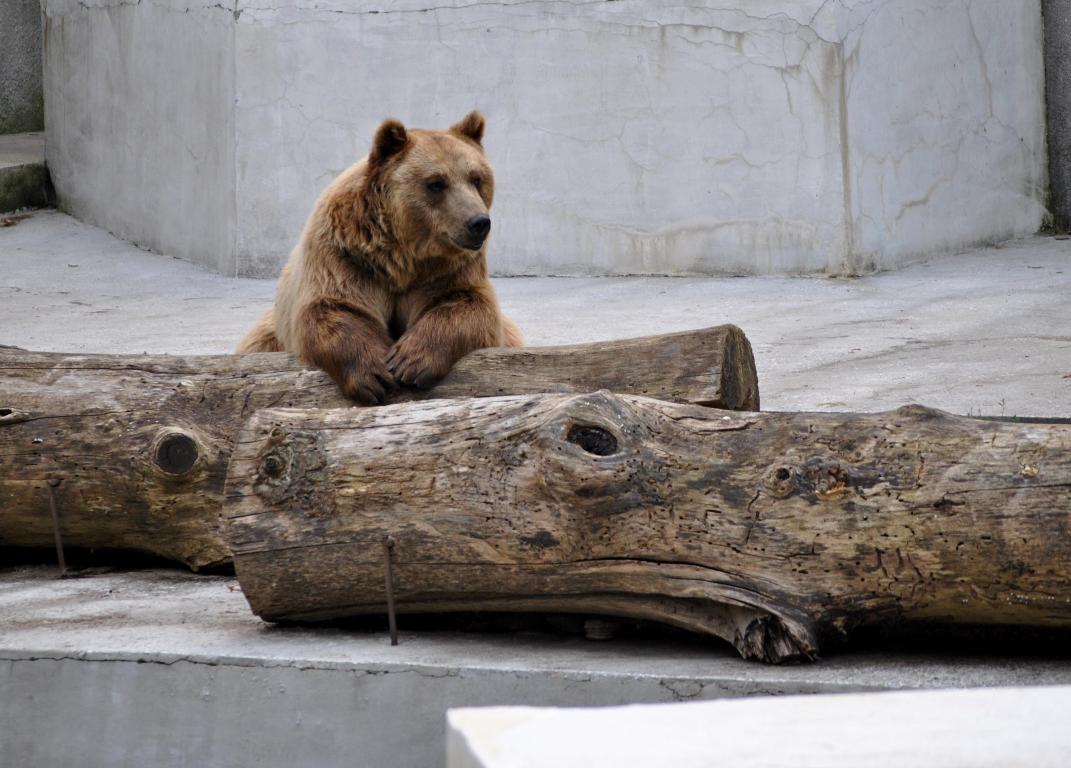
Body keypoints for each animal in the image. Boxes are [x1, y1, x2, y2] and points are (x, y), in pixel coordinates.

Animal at [236, 111, 523, 404]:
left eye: (477, 178)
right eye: (436, 183)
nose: (478, 223)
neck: (402, 257)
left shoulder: (447, 268)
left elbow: (468, 304)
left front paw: (411, 362)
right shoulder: (345, 255)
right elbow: (332, 308)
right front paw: (374, 375)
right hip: (269, 332)